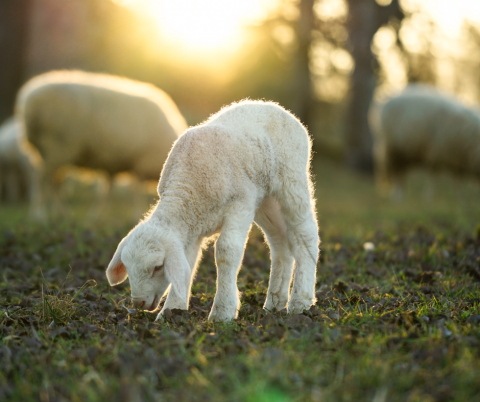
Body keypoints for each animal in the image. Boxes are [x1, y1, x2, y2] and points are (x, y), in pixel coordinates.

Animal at [15, 70, 188, 218]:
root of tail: (28, 101)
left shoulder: (115, 165)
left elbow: (106, 191)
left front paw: (96, 215)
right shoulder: (140, 164)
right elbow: (135, 192)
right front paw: (136, 213)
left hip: (54, 152)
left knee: (54, 184)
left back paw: (64, 213)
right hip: (56, 147)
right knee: (40, 179)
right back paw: (39, 214)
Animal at [107, 101, 320, 324]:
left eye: (157, 267)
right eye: (127, 267)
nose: (138, 303)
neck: (187, 191)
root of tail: (272, 105)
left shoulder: (240, 204)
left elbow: (227, 252)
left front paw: (222, 312)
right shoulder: (191, 228)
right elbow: (188, 264)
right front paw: (172, 311)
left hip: (292, 180)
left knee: (305, 235)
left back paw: (300, 302)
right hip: (265, 200)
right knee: (280, 242)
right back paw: (275, 302)